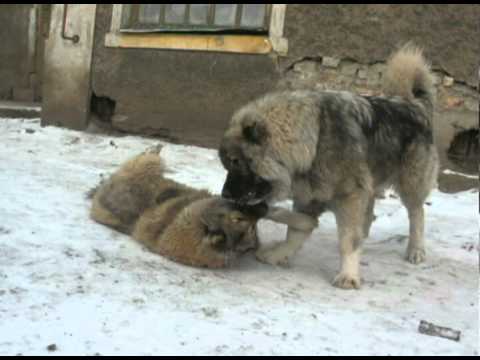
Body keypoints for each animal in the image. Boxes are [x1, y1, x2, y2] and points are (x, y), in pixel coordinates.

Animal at [219, 43, 436, 288]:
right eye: (227, 165)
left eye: (236, 162)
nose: (225, 194)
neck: (314, 142)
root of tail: (413, 105)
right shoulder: (309, 195)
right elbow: (296, 230)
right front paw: (280, 253)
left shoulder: (349, 196)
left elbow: (348, 239)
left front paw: (349, 274)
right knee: (370, 211)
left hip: (410, 184)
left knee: (416, 213)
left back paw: (416, 249)